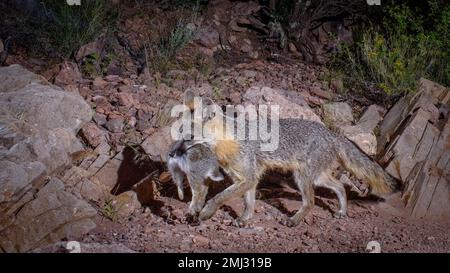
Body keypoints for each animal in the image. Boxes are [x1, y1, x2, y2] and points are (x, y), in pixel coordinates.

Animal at [166, 93, 398, 225]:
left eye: (189, 137)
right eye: (178, 134)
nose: (172, 154)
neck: (228, 140)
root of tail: (330, 132)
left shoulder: (247, 177)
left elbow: (219, 197)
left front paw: (205, 213)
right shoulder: (246, 178)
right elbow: (249, 202)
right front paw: (245, 219)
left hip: (303, 178)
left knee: (311, 201)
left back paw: (294, 220)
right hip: (317, 177)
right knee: (340, 186)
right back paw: (341, 211)